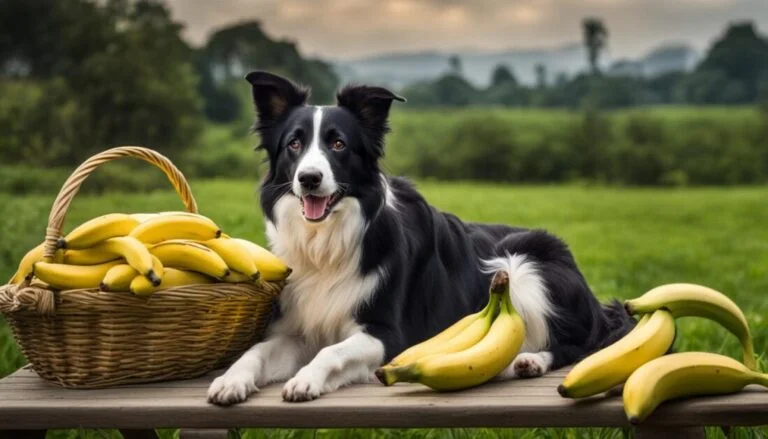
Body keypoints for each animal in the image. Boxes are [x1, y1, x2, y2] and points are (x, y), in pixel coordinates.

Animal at [207, 71, 632, 406]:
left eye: (338, 144)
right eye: (294, 143)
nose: (309, 179)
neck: (328, 243)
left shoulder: (387, 334)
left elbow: (331, 351)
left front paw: (306, 378)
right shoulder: (296, 330)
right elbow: (256, 352)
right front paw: (230, 380)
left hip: (524, 266)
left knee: (577, 345)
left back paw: (529, 360)